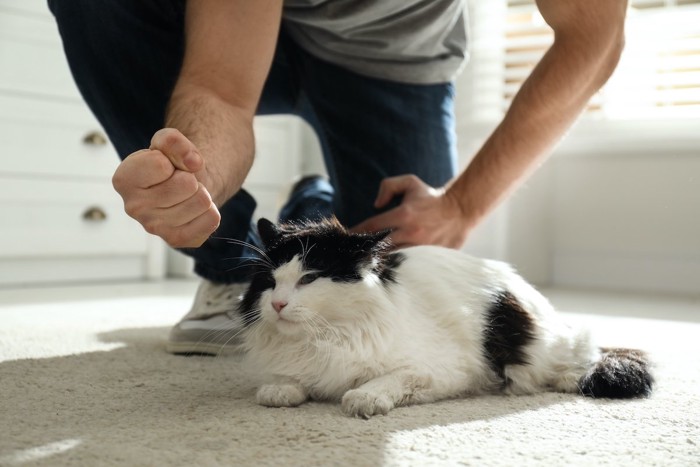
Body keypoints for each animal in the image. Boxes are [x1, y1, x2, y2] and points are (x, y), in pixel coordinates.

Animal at [237, 218, 652, 418]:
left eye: (308, 278)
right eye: (270, 281)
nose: (278, 304)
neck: (323, 338)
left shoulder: (442, 370)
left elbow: (384, 381)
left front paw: (364, 398)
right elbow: (289, 381)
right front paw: (281, 389)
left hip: (546, 345)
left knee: (586, 354)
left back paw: (567, 377)